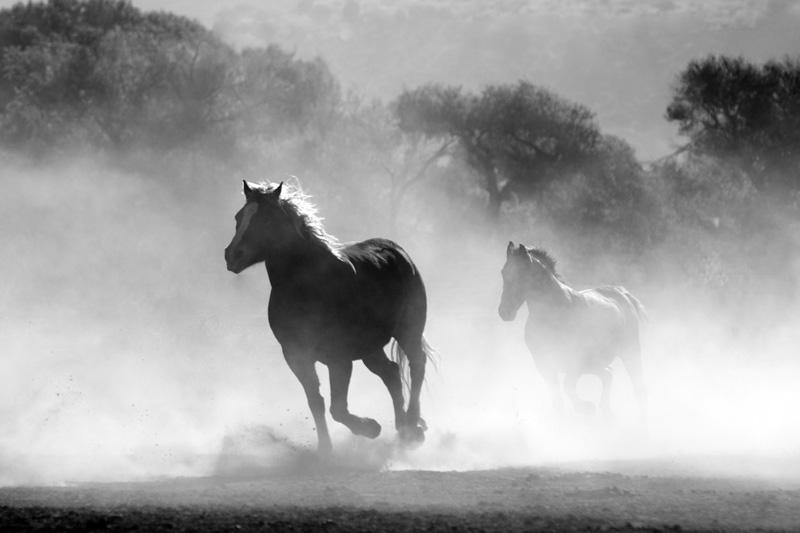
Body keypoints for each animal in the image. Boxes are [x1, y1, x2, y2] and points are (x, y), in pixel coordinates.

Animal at [224, 180, 430, 453]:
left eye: (266, 219)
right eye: (239, 217)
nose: (232, 255)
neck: (308, 287)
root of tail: (397, 251)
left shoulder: (338, 358)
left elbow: (338, 408)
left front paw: (370, 428)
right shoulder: (296, 356)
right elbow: (316, 402)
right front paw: (325, 450)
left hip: (409, 331)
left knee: (416, 365)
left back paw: (412, 427)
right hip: (370, 348)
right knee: (392, 373)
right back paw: (403, 429)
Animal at [498, 241, 647, 420]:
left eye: (522, 274)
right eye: (503, 272)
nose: (504, 312)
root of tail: (622, 293)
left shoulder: (575, 361)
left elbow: (567, 386)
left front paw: (586, 407)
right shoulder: (544, 364)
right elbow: (557, 399)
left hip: (629, 352)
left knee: (637, 385)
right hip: (595, 363)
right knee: (608, 375)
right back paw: (606, 412)